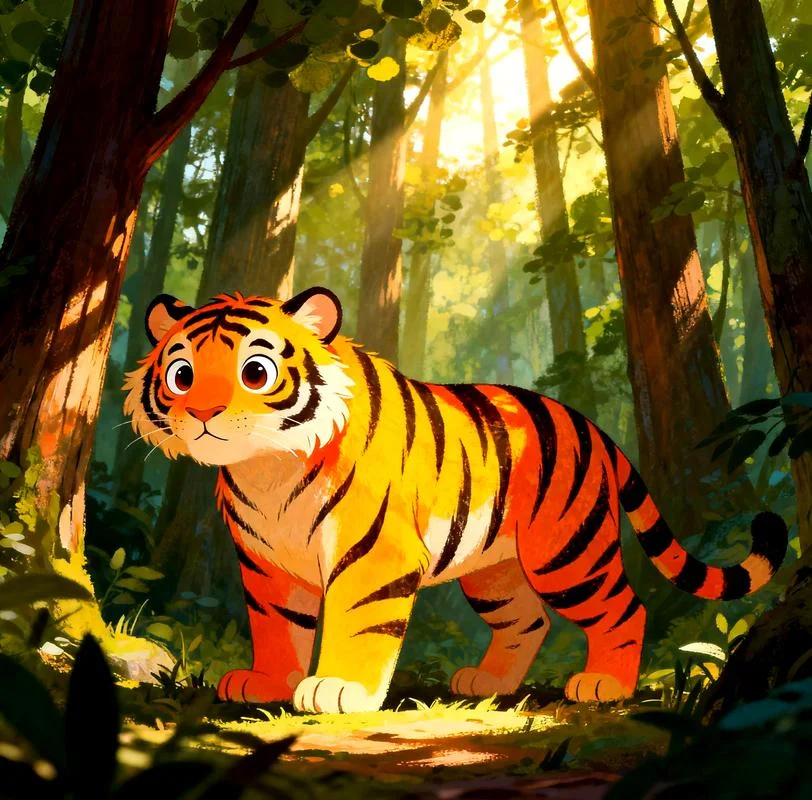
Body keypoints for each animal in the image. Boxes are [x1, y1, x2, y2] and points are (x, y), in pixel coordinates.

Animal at [123, 287, 787, 713]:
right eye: (181, 375)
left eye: (255, 372)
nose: (202, 413)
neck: (266, 468)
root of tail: (593, 427)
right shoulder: (267, 565)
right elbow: (276, 627)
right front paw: (265, 682)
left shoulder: (373, 555)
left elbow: (359, 623)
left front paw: (339, 690)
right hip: (495, 571)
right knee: (529, 619)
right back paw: (487, 682)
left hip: (566, 554)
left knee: (625, 608)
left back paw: (604, 684)